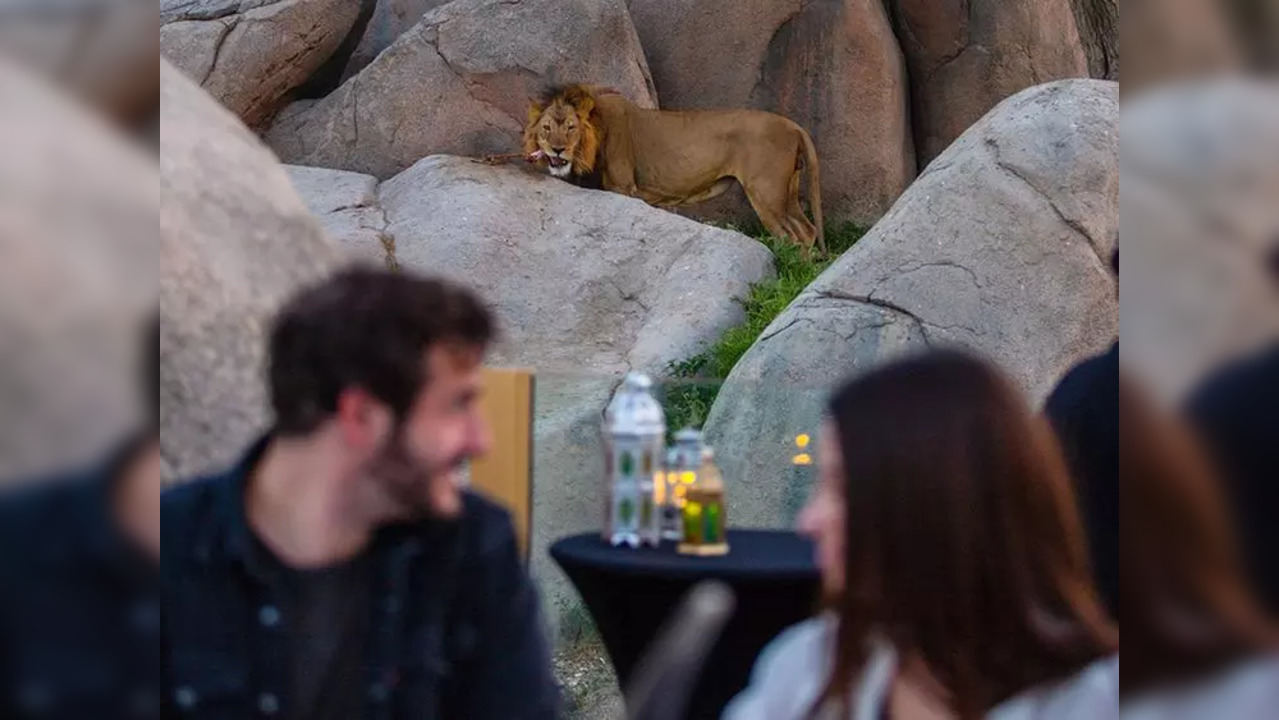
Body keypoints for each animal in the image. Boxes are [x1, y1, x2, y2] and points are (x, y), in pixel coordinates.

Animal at [524, 83, 823, 255]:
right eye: (546, 128)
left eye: (571, 127)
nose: (557, 150)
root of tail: (793, 126)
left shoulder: (624, 187)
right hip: (787, 192)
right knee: (808, 230)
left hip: (765, 191)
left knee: (793, 235)